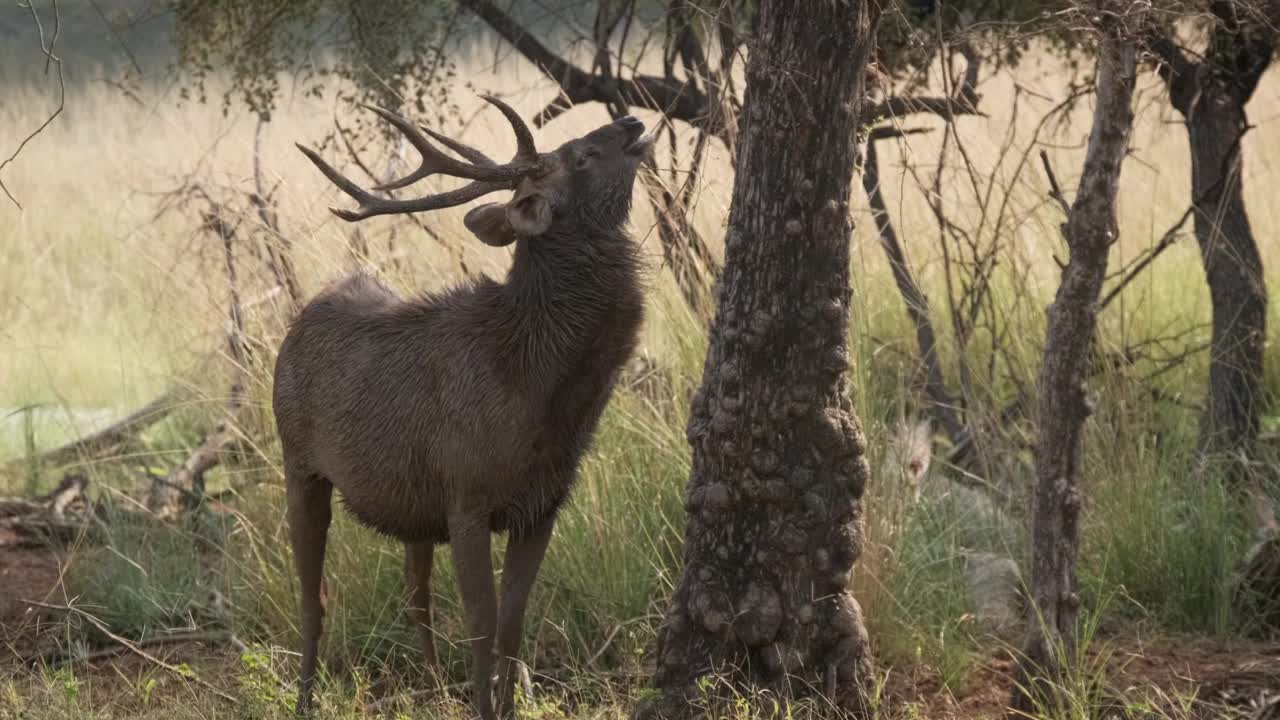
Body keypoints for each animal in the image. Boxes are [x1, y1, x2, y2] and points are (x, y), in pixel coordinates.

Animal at [279, 96, 655, 717]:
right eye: (582, 155)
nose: (632, 122)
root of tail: (301, 316)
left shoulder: (544, 503)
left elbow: (513, 622)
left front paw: (509, 704)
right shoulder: (467, 495)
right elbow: (480, 624)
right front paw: (485, 706)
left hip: (412, 506)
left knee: (416, 595)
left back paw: (432, 689)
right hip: (298, 462)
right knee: (314, 598)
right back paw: (305, 698)